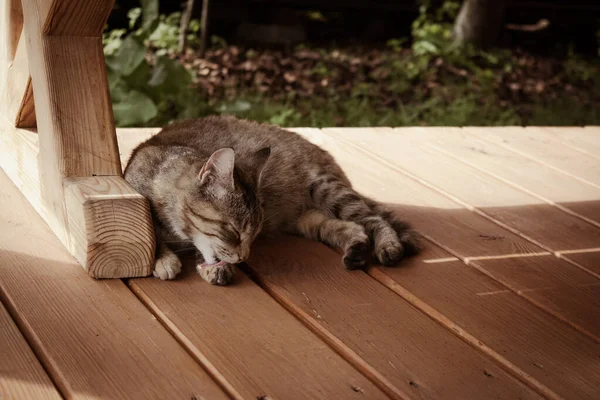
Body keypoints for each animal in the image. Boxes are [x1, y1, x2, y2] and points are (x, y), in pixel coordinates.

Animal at [124, 115, 420, 284]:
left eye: (253, 234)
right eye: (234, 232)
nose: (243, 258)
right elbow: (148, 233)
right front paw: (166, 257)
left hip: (328, 190)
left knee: (372, 219)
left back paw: (388, 244)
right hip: (309, 219)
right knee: (349, 228)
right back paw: (357, 249)